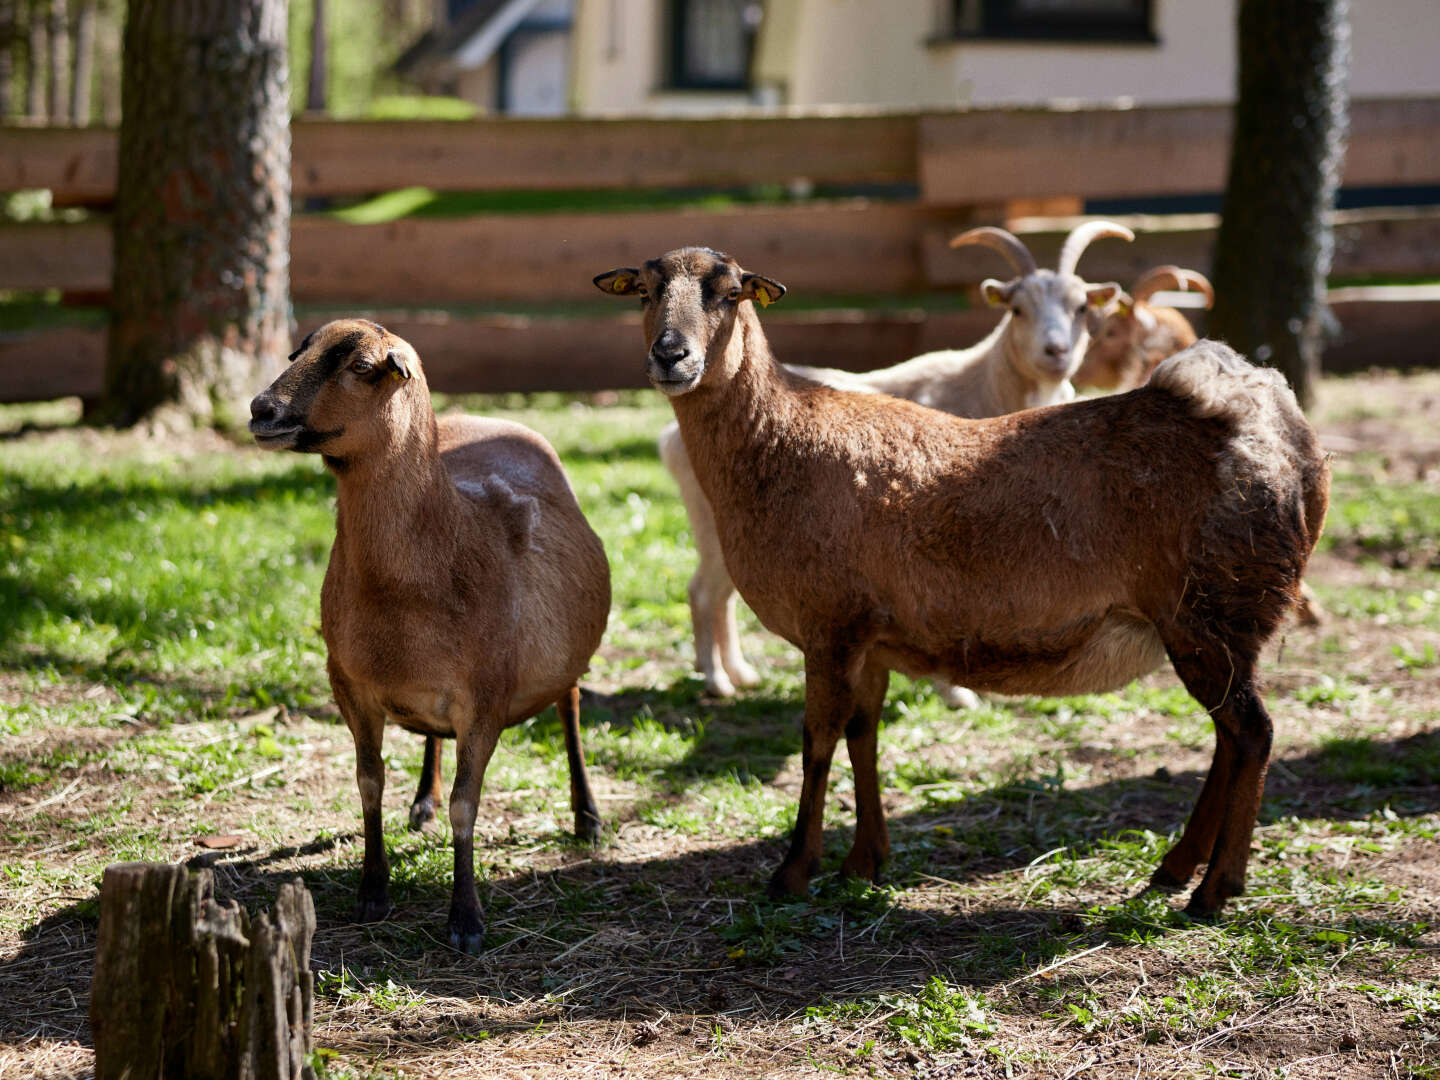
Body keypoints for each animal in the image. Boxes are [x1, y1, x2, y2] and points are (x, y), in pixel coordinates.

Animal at [659, 224, 1128, 705]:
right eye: (1017, 310)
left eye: (1081, 307)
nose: (1056, 352)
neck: (983, 384)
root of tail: (671, 437)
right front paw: (958, 694)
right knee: (703, 593)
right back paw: (716, 679)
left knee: (720, 596)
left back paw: (740, 673)